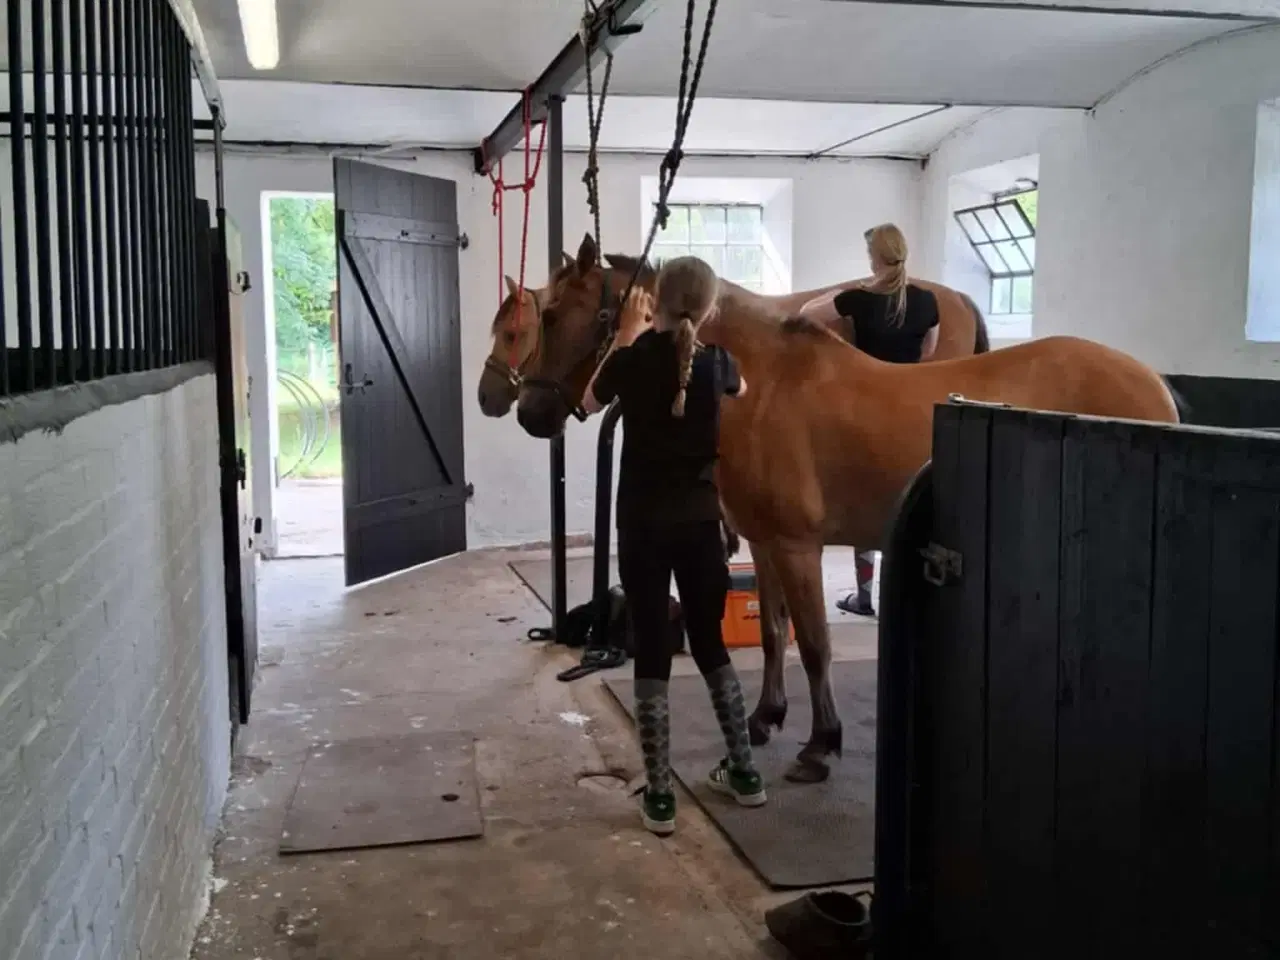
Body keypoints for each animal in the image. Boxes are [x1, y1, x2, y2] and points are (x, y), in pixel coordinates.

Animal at [513, 232, 1180, 783]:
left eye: (554, 314)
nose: (530, 414)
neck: (760, 388)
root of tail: (1153, 383)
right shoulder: (765, 545)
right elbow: (775, 635)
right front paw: (765, 719)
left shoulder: (798, 547)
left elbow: (814, 646)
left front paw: (820, 745)